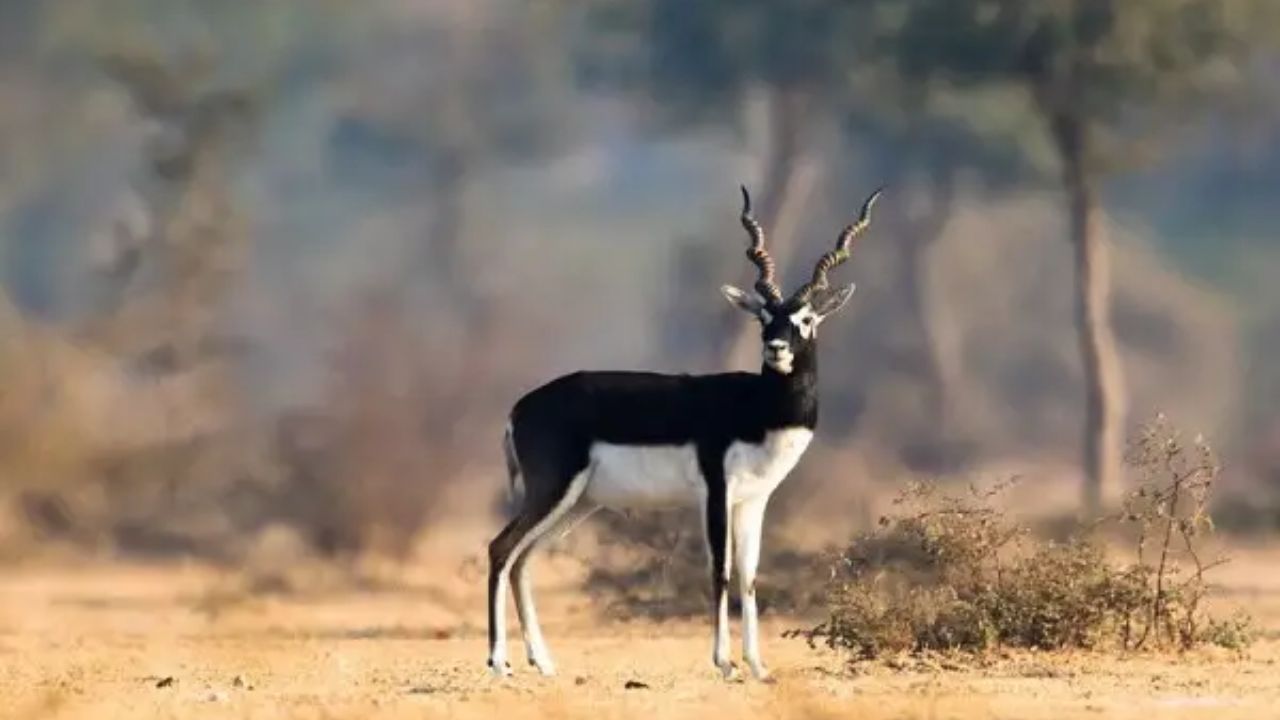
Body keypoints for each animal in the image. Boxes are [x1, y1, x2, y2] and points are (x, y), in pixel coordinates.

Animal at [486, 184, 880, 676]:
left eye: (805, 319)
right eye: (763, 317)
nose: (775, 348)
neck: (758, 408)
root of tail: (519, 408)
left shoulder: (755, 500)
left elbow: (750, 576)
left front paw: (758, 666)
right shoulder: (716, 491)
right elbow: (720, 570)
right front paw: (724, 662)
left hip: (578, 503)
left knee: (524, 560)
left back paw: (542, 661)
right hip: (554, 490)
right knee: (501, 549)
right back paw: (499, 661)